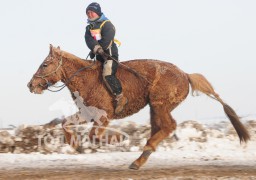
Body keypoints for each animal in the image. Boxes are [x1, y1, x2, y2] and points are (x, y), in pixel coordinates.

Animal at [28, 45, 250, 170]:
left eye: (45, 64)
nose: (31, 85)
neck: (86, 78)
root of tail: (185, 75)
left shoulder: (104, 116)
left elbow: (94, 136)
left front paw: (117, 140)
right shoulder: (86, 113)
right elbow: (65, 123)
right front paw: (74, 144)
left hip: (160, 104)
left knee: (169, 126)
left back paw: (142, 154)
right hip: (155, 107)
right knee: (159, 128)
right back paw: (141, 157)